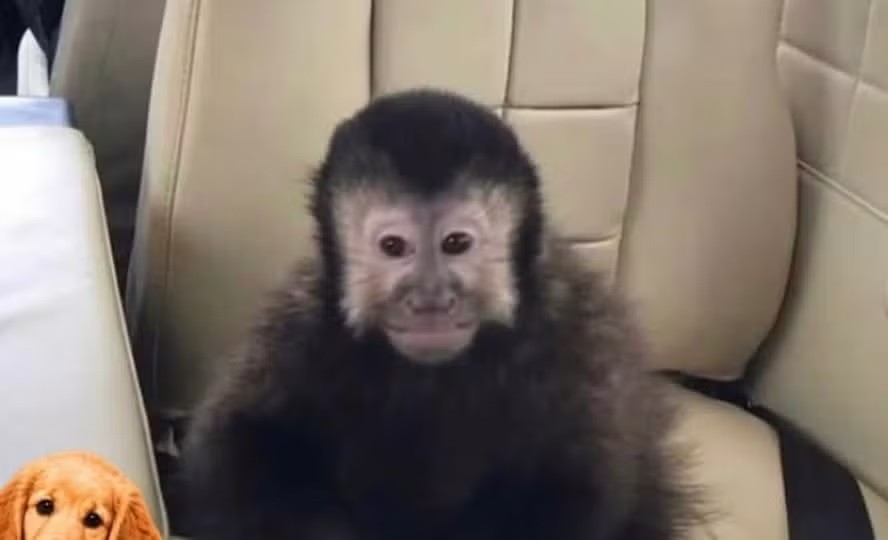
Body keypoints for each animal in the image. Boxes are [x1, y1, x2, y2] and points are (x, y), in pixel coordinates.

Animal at [179, 88, 698, 540]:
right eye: (394, 247)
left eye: (456, 243)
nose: (430, 300)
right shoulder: (297, 326)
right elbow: (235, 444)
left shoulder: (576, 334)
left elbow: (581, 486)